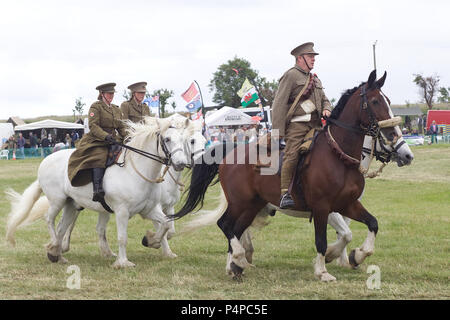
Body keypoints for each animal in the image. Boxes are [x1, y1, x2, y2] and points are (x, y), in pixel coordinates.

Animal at [5, 116, 192, 268]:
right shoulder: (122, 211)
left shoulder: (149, 209)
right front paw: (123, 263)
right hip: (57, 200)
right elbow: (122, 237)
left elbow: (166, 224)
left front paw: (152, 241)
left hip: (70, 204)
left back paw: (59, 254)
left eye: (184, 140)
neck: (137, 171)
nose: (181, 163)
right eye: (167, 139)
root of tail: (46, 160)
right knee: (49, 220)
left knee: (62, 227)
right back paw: (53, 250)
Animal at [172, 71, 400, 282]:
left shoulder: (347, 204)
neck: (338, 156)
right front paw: (323, 271)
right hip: (240, 202)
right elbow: (322, 240)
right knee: (225, 225)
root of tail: (230, 153)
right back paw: (239, 259)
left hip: (252, 205)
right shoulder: (322, 207)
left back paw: (236, 266)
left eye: (388, 101)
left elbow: (372, 224)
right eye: (375, 101)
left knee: (236, 229)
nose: (394, 134)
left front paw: (355, 256)